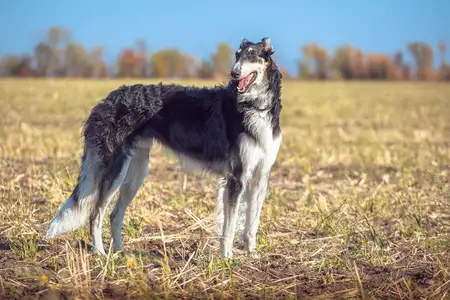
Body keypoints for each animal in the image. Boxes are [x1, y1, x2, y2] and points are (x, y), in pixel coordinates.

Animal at [45, 37, 282, 258]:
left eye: (252, 55)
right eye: (237, 55)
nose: (234, 74)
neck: (255, 107)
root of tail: (108, 99)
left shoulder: (260, 176)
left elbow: (252, 224)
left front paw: (252, 254)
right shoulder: (236, 177)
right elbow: (229, 228)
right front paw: (227, 259)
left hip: (136, 173)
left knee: (114, 214)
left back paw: (121, 254)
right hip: (115, 171)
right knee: (96, 214)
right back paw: (101, 254)